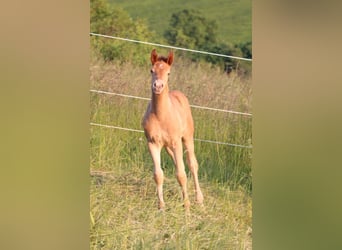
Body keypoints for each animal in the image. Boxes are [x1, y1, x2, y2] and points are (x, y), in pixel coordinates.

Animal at [142, 48, 203, 209]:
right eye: (151, 70)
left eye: (168, 73)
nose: (158, 86)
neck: (161, 116)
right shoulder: (152, 143)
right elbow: (158, 175)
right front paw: (161, 207)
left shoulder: (177, 142)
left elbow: (181, 174)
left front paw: (187, 207)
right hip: (168, 146)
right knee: (178, 164)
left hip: (187, 138)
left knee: (192, 165)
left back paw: (199, 199)